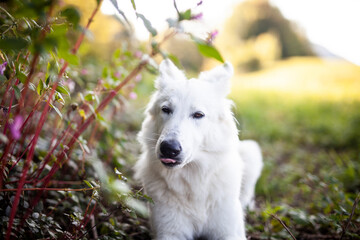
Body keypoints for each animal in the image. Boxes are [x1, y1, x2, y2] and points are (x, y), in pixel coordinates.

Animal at [134, 60, 262, 240]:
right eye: (166, 109)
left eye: (198, 114)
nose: (169, 148)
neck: (194, 181)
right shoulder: (169, 232)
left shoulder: (229, 232)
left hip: (251, 151)